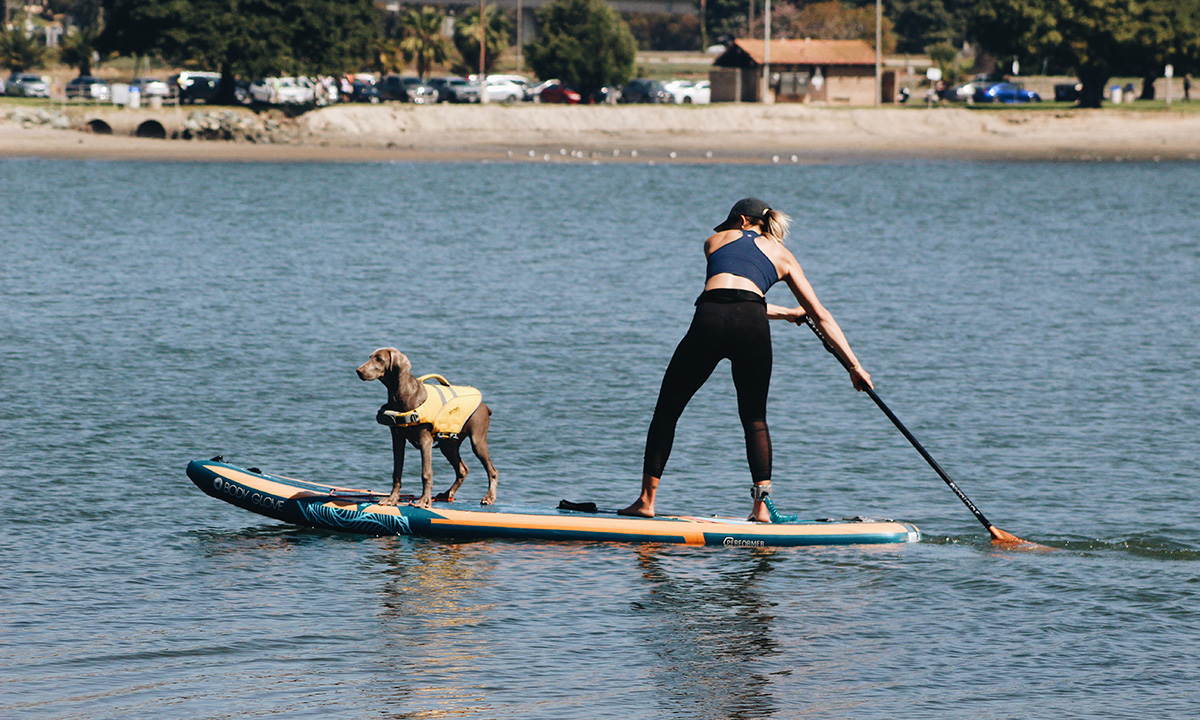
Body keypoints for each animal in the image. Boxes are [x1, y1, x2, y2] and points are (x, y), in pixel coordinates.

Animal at [360, 348, 501, 506]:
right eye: (371, 357)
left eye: (379, 359)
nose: (358, 371)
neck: (401, 395)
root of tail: (485, 407)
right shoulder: (397, 439)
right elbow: (397, 472)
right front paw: (392, 498)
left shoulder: (425, 440)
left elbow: (426, 473)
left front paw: (424, 500)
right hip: (449, 445)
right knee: (462, 470)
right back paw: (447, 493)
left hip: (477, 440)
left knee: (492, 471)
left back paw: (489, 497)